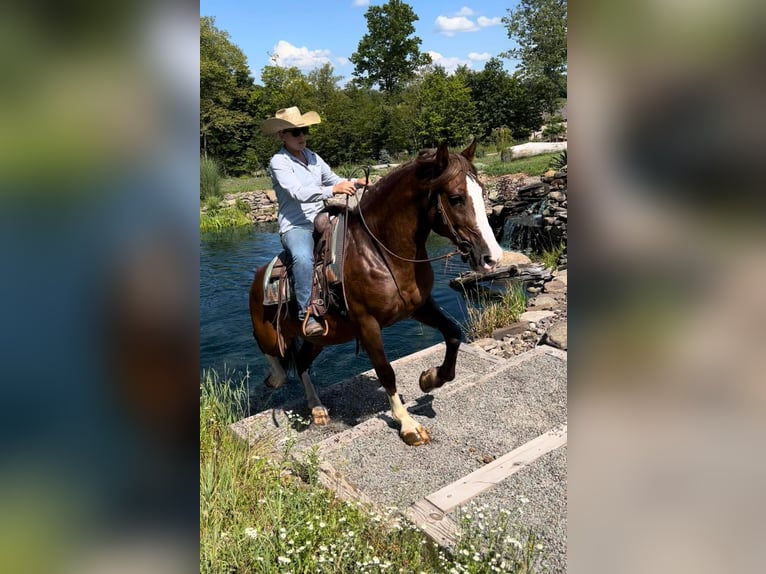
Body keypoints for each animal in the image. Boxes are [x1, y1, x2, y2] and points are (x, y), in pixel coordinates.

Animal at [249, 142, 508, 448]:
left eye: (483, 191)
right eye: (456, 198)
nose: (492, 258)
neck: (380, 251)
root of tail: (259, 278)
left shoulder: (420, 307)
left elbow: (454, 334)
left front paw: (430, 378)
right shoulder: (367, 323)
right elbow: (385, 370)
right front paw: (408, 424)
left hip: (321, 338)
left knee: (301, 363)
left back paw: (318, 409)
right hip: (271, 335)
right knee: (277, 367)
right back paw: (277, 384)